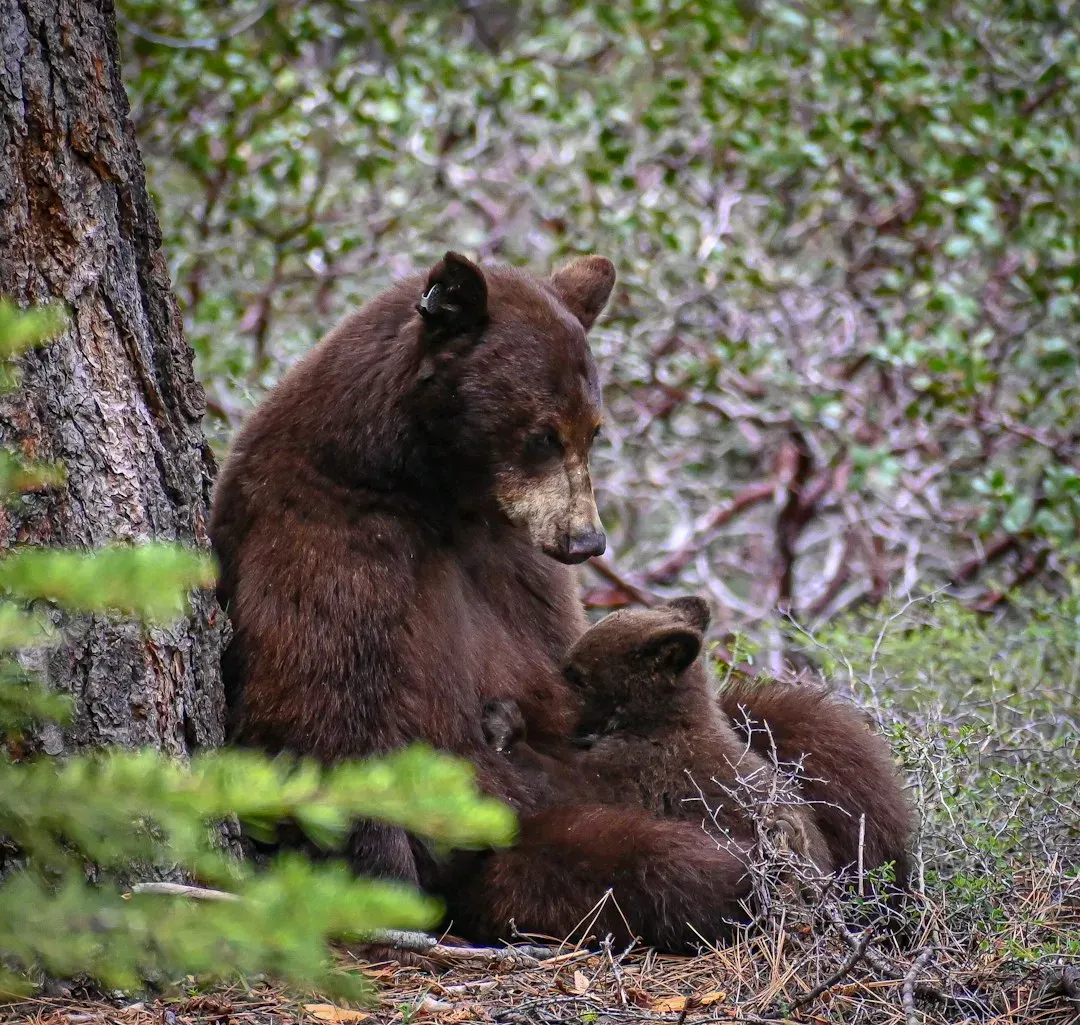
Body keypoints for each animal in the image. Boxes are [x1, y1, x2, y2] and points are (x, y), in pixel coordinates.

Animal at [210, 250, 765, 951]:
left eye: (594, 430)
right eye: (542, 435)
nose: (588, 539)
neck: (432, 495)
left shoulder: (519, 568)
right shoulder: (334, 544)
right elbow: (325, 722)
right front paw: (382, 895)